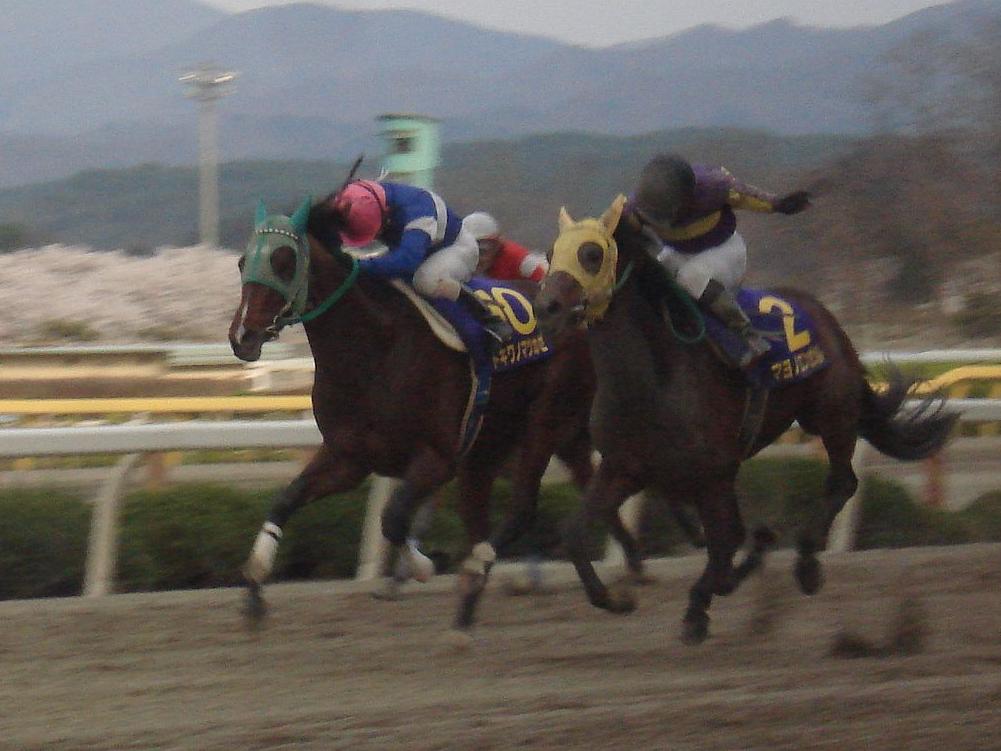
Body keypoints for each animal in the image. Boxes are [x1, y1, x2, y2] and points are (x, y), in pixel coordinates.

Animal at [229, 197, 656, 639]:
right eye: (243, 262)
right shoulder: (349, 458)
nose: (243, 336)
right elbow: (285, 500)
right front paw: (254, 591)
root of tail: (579, 314)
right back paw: (622, 576)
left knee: (522, 511)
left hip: (544, 423)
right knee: (585, 494)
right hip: (525, 446)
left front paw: (420, 567)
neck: (374, 351)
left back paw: (482, 580)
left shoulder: (437, 458)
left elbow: (394, 518)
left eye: (283, 260)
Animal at [535, 195, 957, 644]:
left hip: (833, 414)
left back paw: (807, 564)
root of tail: (827, 317)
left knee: (842, 482)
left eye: (592, 254)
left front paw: (698, 608)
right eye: (549, 254)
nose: (547, 308)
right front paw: (617, 599)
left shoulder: (714, 473)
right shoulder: (625, 467)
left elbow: (724, 545)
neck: (653, 378)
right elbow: (575, 532)